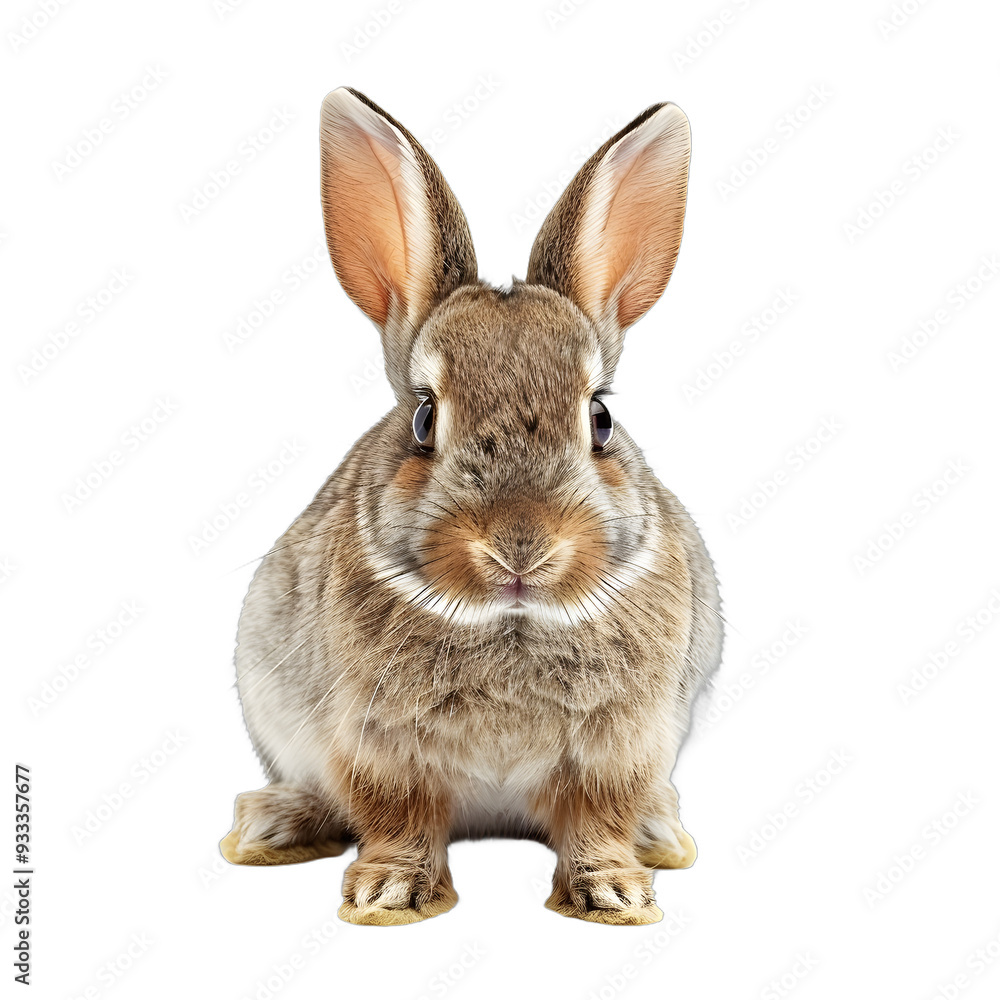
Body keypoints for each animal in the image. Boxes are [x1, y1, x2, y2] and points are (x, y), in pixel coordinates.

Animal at [221, 87, 723, 926]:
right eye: (425, 418)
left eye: (600, 419)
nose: (520, 545)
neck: (511, 619)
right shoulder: (377, 744)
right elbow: (397, 817)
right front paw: (388, 895)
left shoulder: (621, 746)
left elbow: (597, 819)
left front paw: (615, 894)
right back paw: (271, 825)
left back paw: (662, 835)